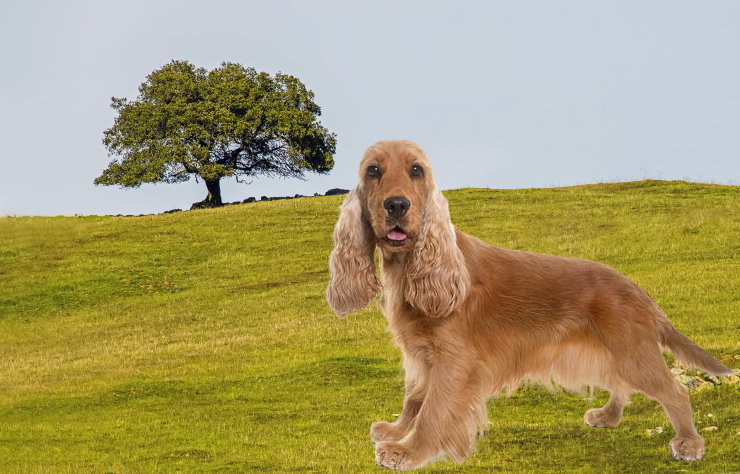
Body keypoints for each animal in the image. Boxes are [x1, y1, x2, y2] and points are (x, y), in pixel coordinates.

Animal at [326, 139, 736, 468]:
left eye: (417, 170)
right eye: (373, 170)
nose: (397, 205)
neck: (415, 267)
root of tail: (640, 292)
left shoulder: (455, 361)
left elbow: (432, 411)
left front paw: (408, 451)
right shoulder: (422, 357)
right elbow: (415, 400)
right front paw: (397, 430)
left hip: (633, 352)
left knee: (674, 392)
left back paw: (689, 443)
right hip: (610, 351)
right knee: (620, 384)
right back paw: (608, 416)